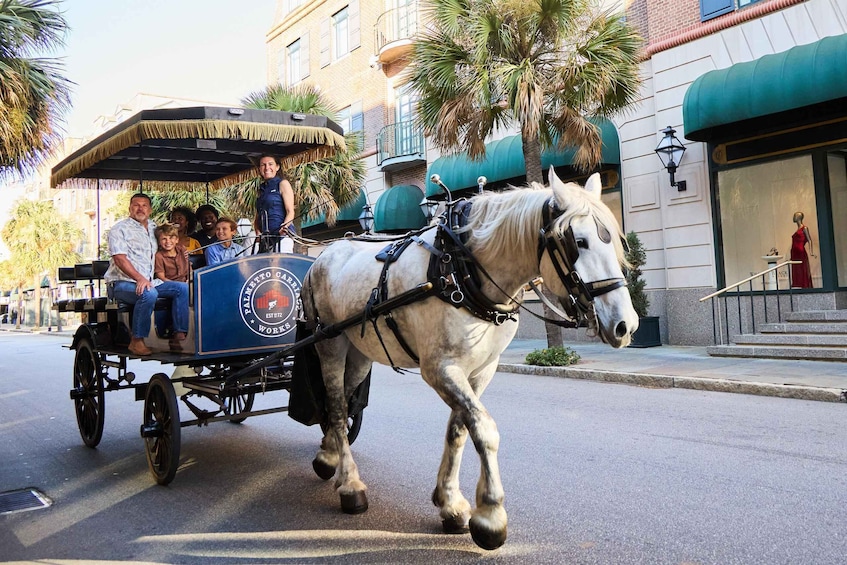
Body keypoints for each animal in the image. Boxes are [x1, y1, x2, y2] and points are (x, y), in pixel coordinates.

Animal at [302, 167, 640, 548]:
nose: (626, 325)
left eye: (614, 241)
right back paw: (350, 484)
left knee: (344, 401)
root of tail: (323, 254)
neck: (461, 269)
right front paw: (490, 515)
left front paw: (449, 502)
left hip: (359, 352)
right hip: (330, 343)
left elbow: (459, 430)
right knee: (336, 406)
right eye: (579, 242)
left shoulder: (480, 370)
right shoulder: (440, 369)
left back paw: (329, 454)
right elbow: (484, 429)